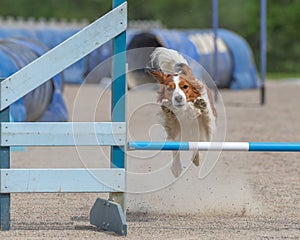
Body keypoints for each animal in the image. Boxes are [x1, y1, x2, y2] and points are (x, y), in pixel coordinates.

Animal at [147, 47, 216, 178]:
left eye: (185, 87)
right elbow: (175, 146)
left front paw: (201, 105)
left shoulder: (206, 134)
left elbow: (205, 122)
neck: (185, 112)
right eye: (169, 88)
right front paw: (176, 168)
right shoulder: (174, 131)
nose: (178, 98)